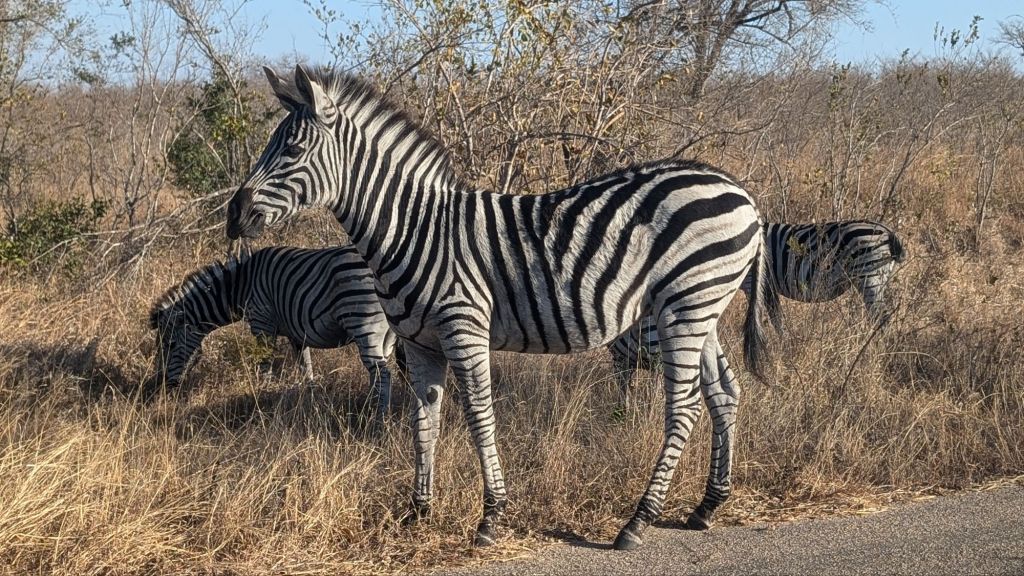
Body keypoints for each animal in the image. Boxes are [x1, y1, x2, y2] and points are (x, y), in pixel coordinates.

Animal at [149, 244, 399, 417]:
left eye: (170, 345)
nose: (164, 386)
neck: (242, 284)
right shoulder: (297, 334)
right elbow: (306, 370)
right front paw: (311, 403)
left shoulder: (262, 324)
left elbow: (265, 369)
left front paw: (261, 401)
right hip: (387, 334)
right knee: (379, 373)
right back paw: (371, 408)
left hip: (364, 322)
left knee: (382, 374)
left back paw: (377, 419)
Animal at [225, 65, 771, 550]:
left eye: (293, 149)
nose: (233, 216)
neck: (414, 230)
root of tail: (738, 189)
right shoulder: (419, 344)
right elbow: (424, 420)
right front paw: (417, 510)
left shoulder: (463, 329)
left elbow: (478, 415)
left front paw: (490, 517)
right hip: (701, 308)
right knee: (724, 393)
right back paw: (707, 506)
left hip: (685, 306)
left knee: (684, 407)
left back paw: (637, 522)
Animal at [611, 219, 905, 405]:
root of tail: (887, 233)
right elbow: (775, 318)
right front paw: (784, 347)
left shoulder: (760, 284)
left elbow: (770, 318)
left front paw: (778, 347)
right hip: (877, 279)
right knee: (885, 315)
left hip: (869, 277)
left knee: (881, 317)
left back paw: (878, 347)